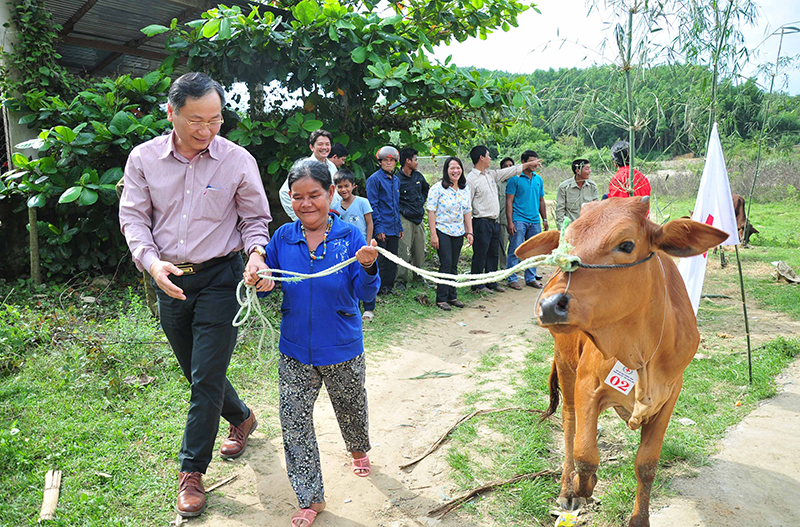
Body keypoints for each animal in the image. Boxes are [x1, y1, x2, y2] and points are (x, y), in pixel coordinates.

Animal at [516, 198, 728, 527]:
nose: (550, 304)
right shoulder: (587, 384)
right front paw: (582, 486)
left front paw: (640, 519)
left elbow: (647, 464)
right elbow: (585, 453)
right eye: (563, 246)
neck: (641, 353)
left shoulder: (670, 395)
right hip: (565, 364)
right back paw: (567, 489)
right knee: (569, 424)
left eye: (626, 244)